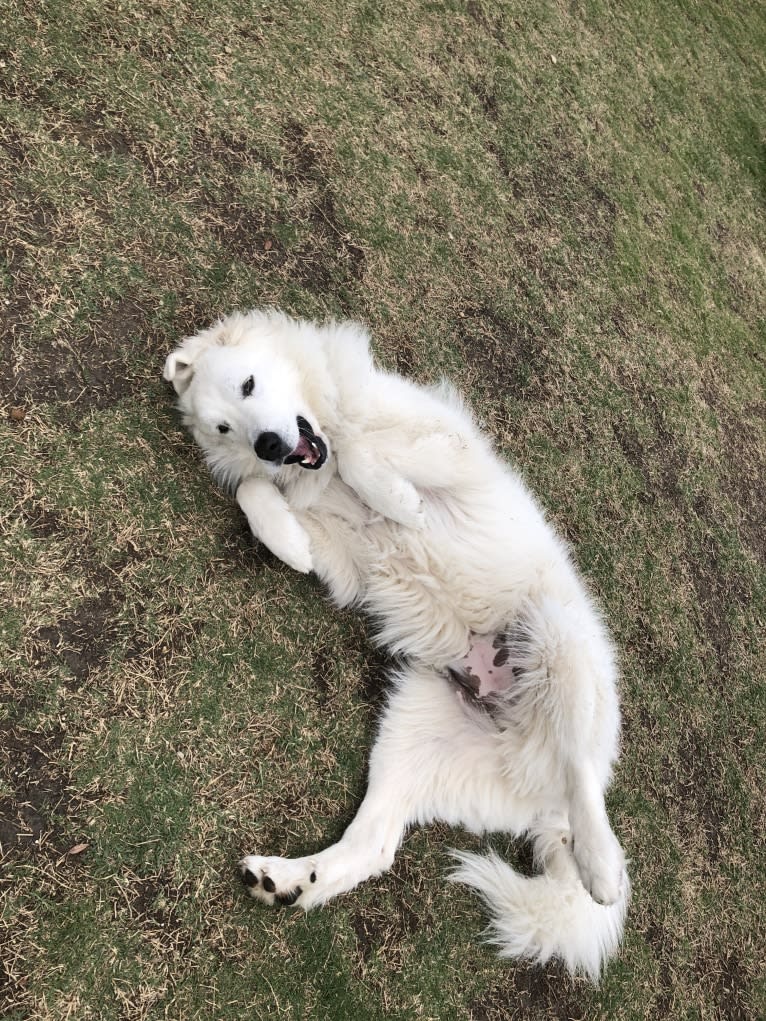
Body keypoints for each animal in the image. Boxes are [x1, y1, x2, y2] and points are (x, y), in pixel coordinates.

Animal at [165, 308, 633, 980]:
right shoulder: (334, 546)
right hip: (411, 733)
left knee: (581, 777)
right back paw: (288, 881)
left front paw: (399, 501)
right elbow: (255, 495)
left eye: (249, 385)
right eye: (224, 427)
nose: (268, 446)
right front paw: (287, 541)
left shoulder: (444, 444)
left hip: (554, 637)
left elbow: (362, 449)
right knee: (374, 848)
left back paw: (601, 864)